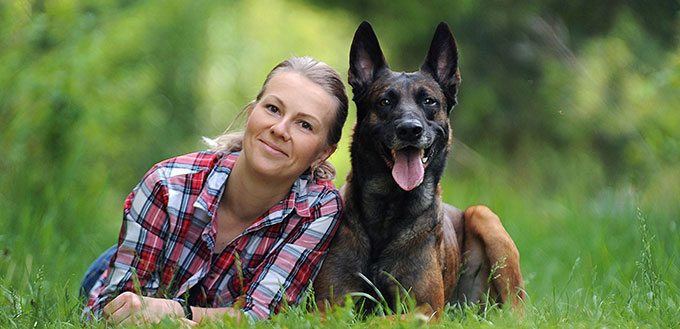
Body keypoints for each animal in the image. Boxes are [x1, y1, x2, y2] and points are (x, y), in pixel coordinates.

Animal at [314, 21, 524, 318]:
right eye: (385, 102)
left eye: (429, 102)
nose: (410, 130)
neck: (388, 209)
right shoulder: (329, 302)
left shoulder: (425, 307)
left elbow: (381, 321)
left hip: (484, 215)